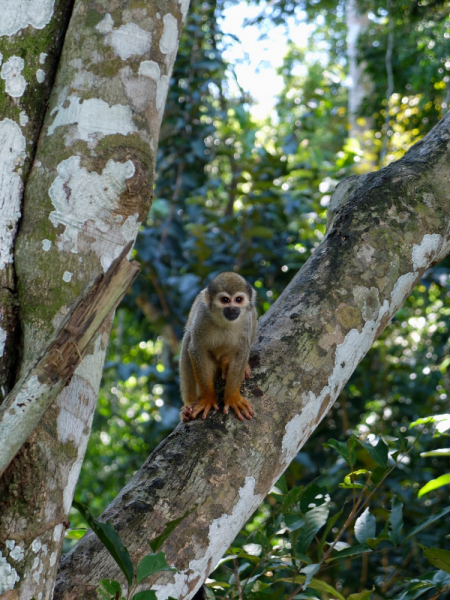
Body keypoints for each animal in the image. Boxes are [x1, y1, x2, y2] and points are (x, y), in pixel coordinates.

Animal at [179, 272, 256, 422]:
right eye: (225, 300)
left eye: (238, 299)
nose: (233, 308)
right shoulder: (202, 316)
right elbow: (196, 348)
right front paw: (208, 399)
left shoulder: (246, 320)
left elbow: (242, 351)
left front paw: (233, 398)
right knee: (188, 338)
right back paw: (188, 405)